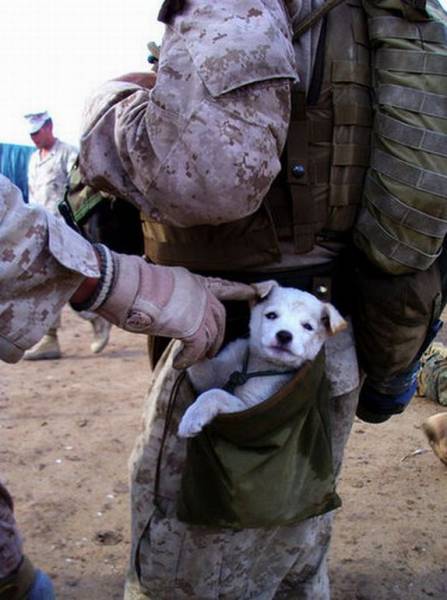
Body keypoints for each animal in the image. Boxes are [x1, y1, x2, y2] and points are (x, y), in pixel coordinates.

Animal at [177, 282, 348, 436]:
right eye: (271, 315)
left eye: (308, 326)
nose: (284, 335)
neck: (258, 366)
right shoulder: (210, 377)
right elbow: (201, 368)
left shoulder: (250, 409)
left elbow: (215, 394)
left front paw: (192, 418)